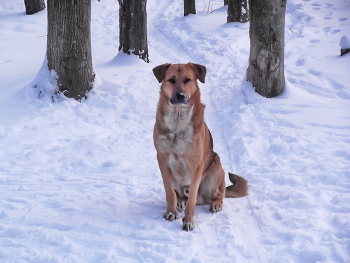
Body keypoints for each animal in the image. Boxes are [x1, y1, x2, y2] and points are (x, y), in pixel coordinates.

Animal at [153, 63, 249, 232]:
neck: (177, 119)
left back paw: (215, 203)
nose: (180, 96)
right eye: (171, 80)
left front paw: (188, 221)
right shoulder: (162, 160)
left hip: (216, 168)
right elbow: (169, 192)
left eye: (187, 79)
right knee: (181, 195)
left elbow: (192, 198)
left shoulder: (195, 164)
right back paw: (180, 200)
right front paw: (171, 212)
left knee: (218, 194)